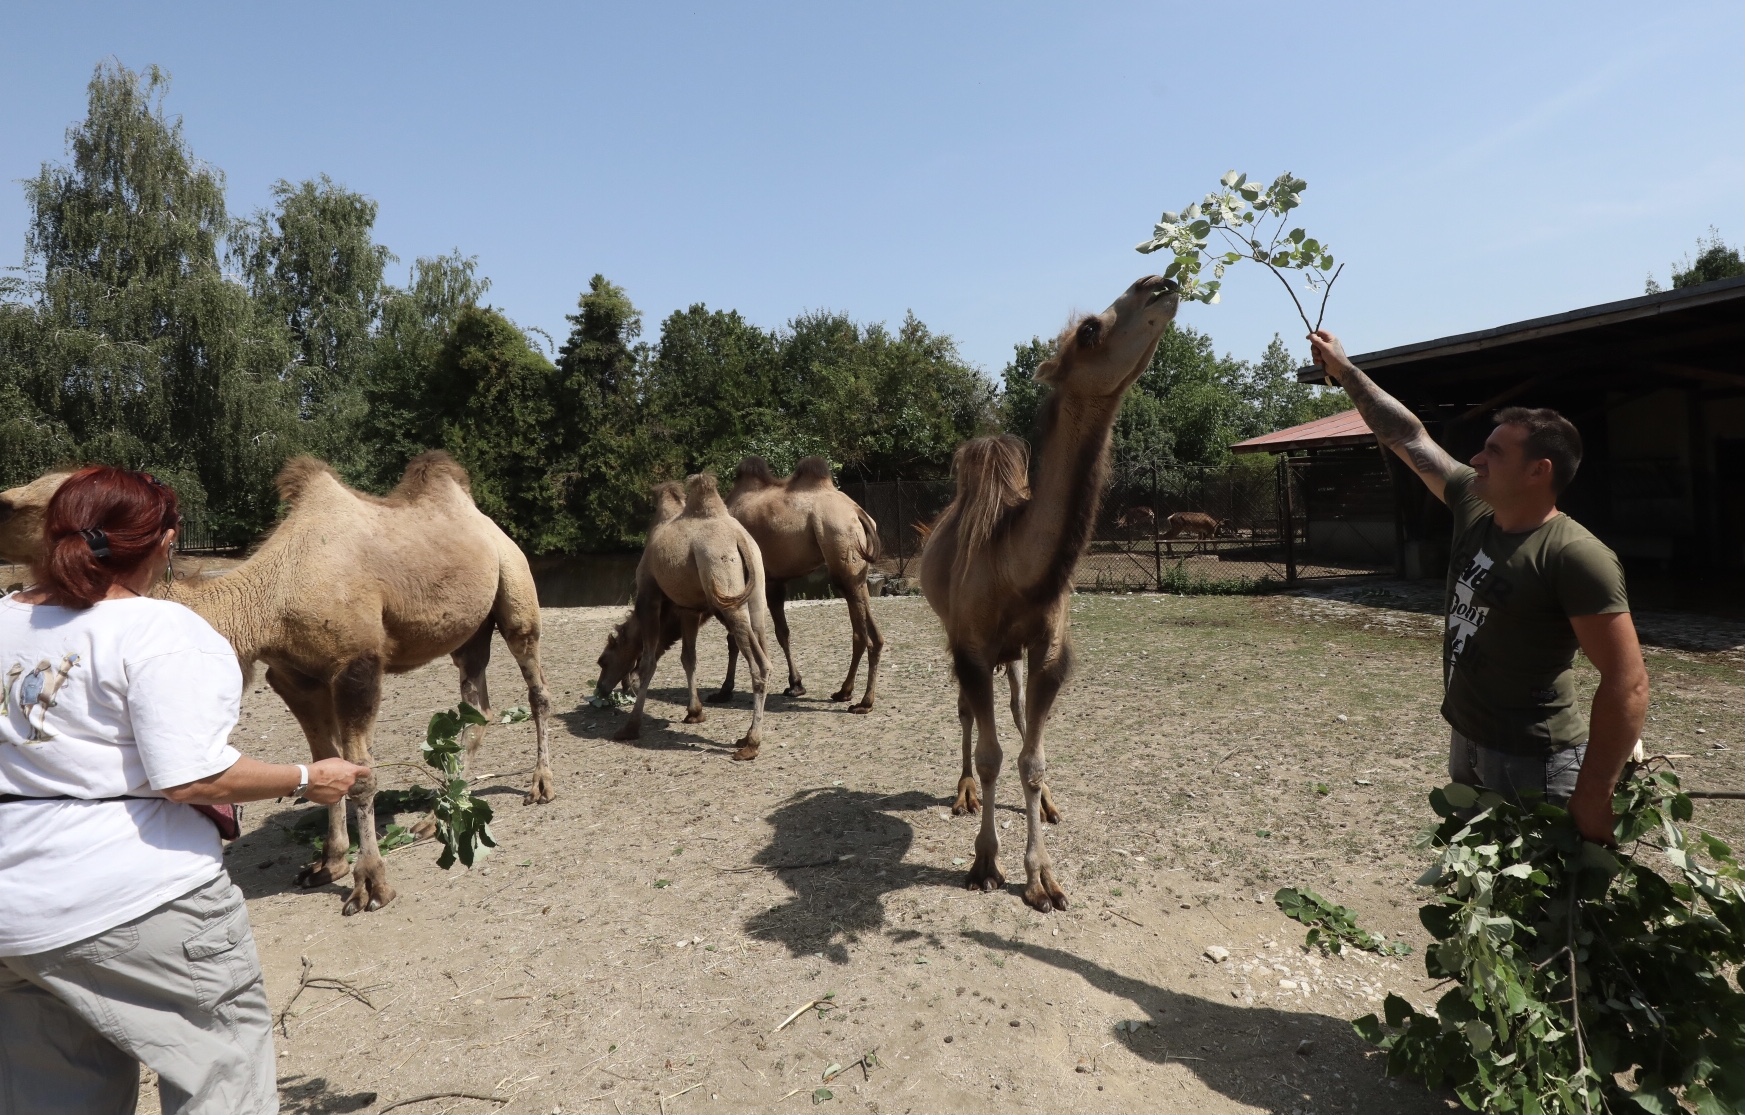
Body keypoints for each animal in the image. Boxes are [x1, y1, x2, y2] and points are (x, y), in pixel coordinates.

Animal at [0, 453, 554, 914]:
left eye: (25, 504)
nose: (3, 500)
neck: (269, 601)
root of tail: (484, 521)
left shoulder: (357, 665)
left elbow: (362, 775)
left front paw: (370, 884)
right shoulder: (296, 676)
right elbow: (325, 763)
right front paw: (327, 863)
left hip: (515, 590)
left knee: (535, 685)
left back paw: (539, 785)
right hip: (469, 632)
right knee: (475, 707)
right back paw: (439, 815)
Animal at [593, 474, 771, 764]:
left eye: (603, 660)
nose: (601, 689)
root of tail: (740, 540)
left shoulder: (649, 594)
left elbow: (648, 663)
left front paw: (630, 727)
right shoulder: (689, 610)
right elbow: (688, 658)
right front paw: (694, 712)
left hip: (725, 586)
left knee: (761, 665)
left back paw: (751, 745)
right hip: (755, 596)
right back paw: (745, 737)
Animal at [708, 457, 879, 711]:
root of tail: (858, 513)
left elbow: (737, 638)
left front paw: (724, 691)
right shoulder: (774, 581)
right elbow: (783, 632)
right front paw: (796, 684)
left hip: (840, 550)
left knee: (860, 634)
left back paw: (857, 699)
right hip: (859, 572)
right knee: (872, 632)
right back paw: (850, 694)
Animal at [921, 272, 1179, 914]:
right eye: (1088, 330)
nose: (1161, 282)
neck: (1014, 565)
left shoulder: (1047, 651)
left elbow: (1031, 758)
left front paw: (1042, 878)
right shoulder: (970, 646)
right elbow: (990, 755)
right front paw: (984, 863)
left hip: (1012, 655)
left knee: (1013, 709)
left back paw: (1052, 803)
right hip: (956, 635)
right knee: (966, 713)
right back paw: (962, 793)